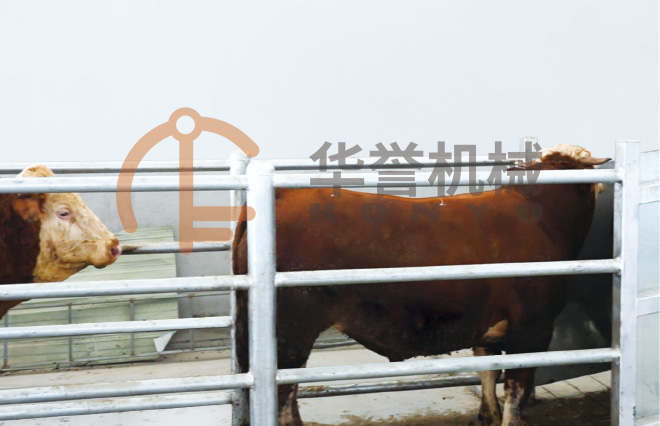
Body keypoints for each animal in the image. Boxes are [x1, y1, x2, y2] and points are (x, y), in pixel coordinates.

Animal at [232, 145, 610, 426]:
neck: (543, 217)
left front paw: (486, 415)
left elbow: (487, 373)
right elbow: (515, 389)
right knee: (284, 395)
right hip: (292, 332)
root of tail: (285, 195)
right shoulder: (532, 327)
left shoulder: (486, 325)